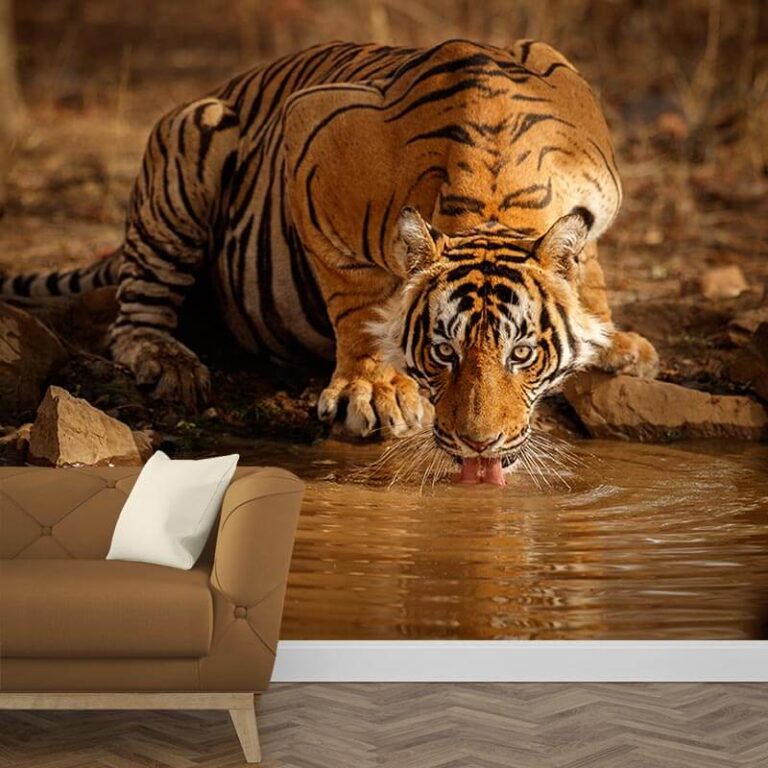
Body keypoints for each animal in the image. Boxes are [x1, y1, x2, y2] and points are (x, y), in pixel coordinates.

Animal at [1, 39, 659, 483]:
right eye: (442, 353)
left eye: (521, 355)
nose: (479, 446)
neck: (494, 194)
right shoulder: (310, 150)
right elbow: (357, 297)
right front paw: (372, 390)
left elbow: (589, 266)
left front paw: (612, 340)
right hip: (192, 139)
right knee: (133, 318)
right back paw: (170, 363)